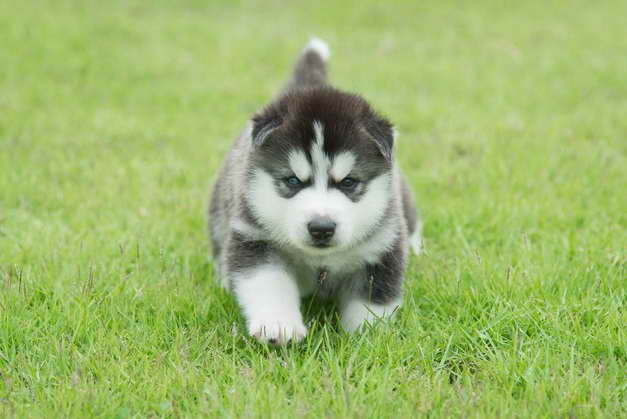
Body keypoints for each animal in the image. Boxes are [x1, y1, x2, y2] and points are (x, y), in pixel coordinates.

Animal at [210, 38, 422, 344]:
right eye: (293, 181)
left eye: (348, 182)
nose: (321, 228)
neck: (320, 260)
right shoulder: (255, 239)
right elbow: (268, 285)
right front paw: (279, 326)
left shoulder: (381, 248)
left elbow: (373, 301)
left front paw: (366, 336)